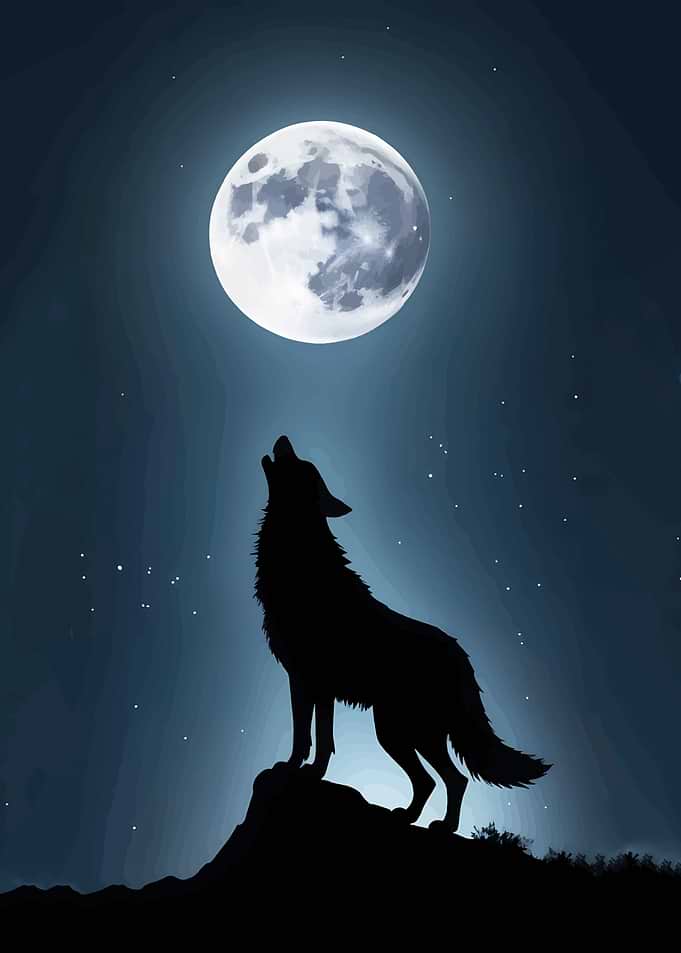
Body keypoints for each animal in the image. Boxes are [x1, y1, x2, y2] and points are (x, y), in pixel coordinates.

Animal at [253, 435, 551, 832]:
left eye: (303, 464)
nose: (284, 438)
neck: (301, 561)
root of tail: (462, 657)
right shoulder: (311, 683)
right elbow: (315, 737)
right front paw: (306, 771)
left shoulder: (311, 680)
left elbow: (311, 737)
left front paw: (299, 771)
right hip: (402, 732)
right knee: (438, 780)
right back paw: (414, 818)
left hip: (399, 732)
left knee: (448, 779)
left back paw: (439, 825)